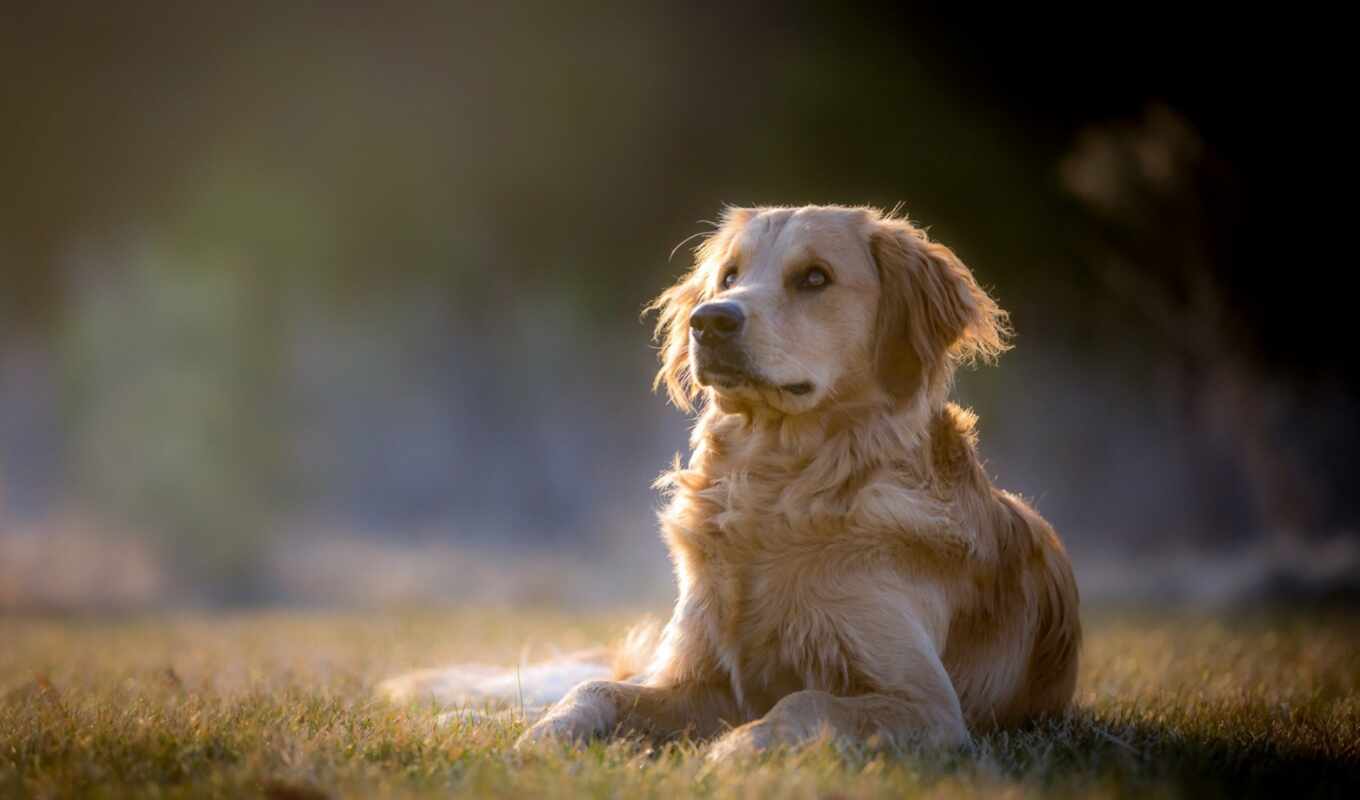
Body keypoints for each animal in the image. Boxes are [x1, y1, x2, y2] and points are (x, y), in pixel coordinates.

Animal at [380, 204, 1071, 756]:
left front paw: (738, 751)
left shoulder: (927, 703)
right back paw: (465, 717)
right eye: (729, 277)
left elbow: (807, 701)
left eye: (815, 277)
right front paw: (541, 739)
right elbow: (595, 688)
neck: (777, 489)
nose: (709, 321)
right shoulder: (698, 675)